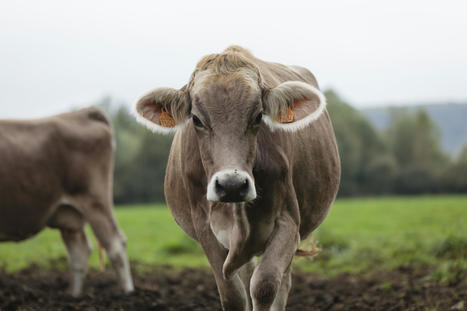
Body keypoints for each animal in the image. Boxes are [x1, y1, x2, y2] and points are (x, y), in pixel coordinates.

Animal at [0, 107, 135, 298]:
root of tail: (83, 113)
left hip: (95, 201)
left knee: (116, 245)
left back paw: (128, 293)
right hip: (69, 214)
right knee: (79, 251)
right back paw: (74, 296)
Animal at [134, 47, 340, 311]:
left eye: (258, 116)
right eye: (196, 119)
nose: (231, 185)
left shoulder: (289, 223)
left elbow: (264, 286)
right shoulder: (205, 227)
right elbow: (233, 294)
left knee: (281, 282)